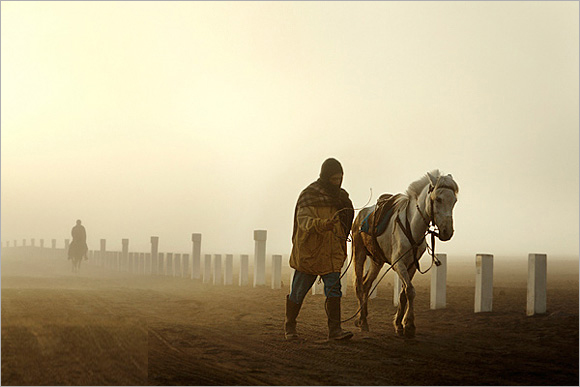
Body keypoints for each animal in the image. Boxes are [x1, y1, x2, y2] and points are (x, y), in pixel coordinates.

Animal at [352, 171, 460, 338]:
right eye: (438, 199)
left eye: (454, 200)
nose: (447, 232)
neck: (412, 226)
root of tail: (360, 216)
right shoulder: (399, 264)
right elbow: (410, 290)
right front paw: (409, 325)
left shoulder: (412, 265)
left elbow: (403, 293)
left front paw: (399, 324)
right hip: (359, 253)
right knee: (359, 285)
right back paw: (363, 322)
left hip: (377, 261)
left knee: (366, 284)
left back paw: (362, 319)